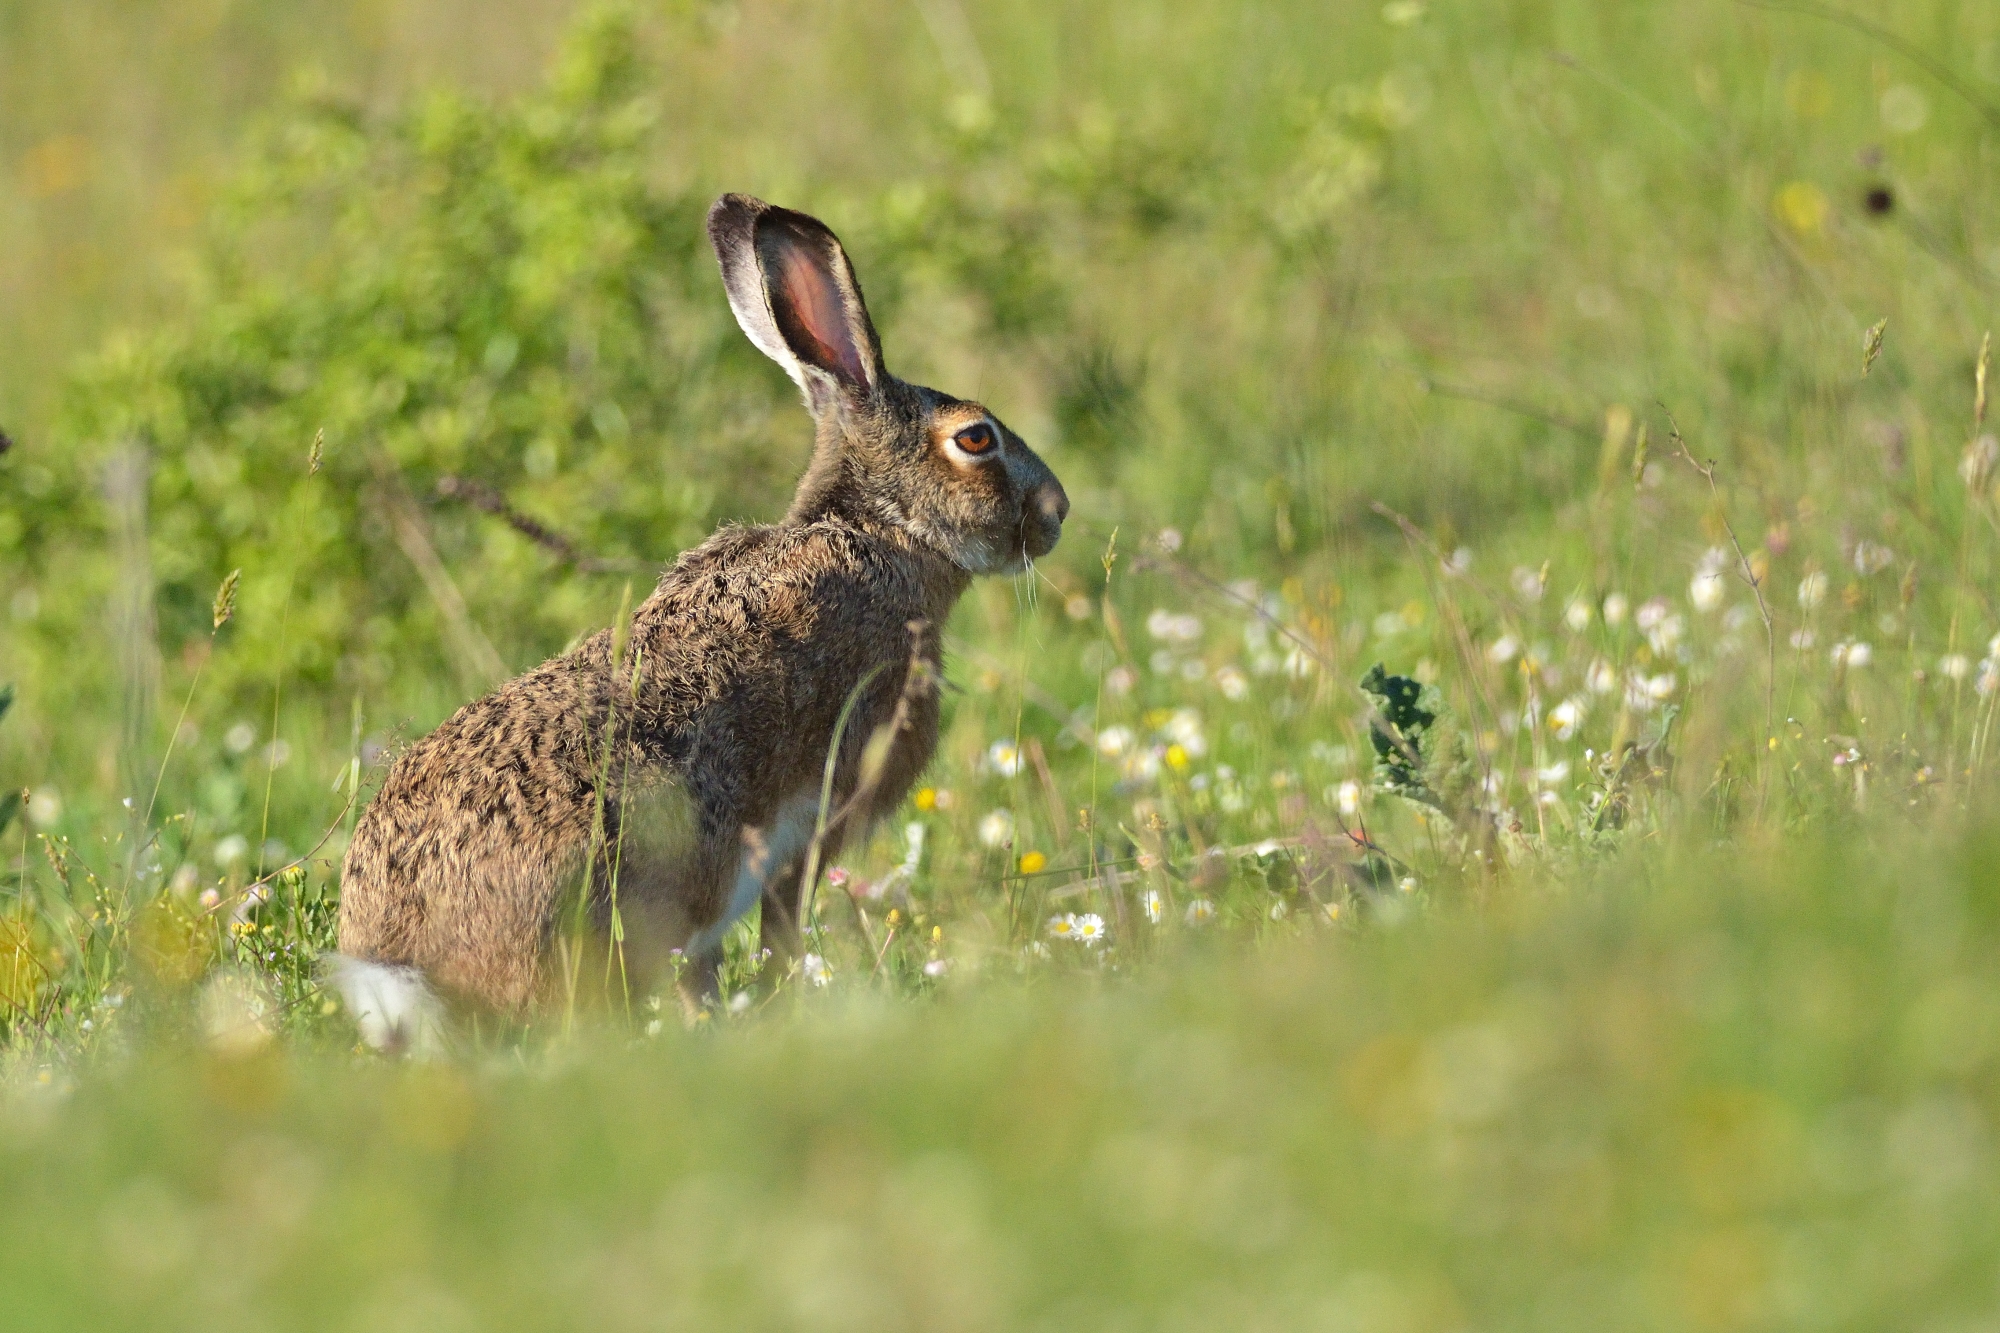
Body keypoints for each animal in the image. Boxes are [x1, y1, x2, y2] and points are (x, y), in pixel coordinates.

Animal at [329, 193, 1068, 1038]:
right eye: (976, 438)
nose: (1057, 512)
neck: (877, 531)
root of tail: (409, 959)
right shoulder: (818, 820)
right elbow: (782, 928)